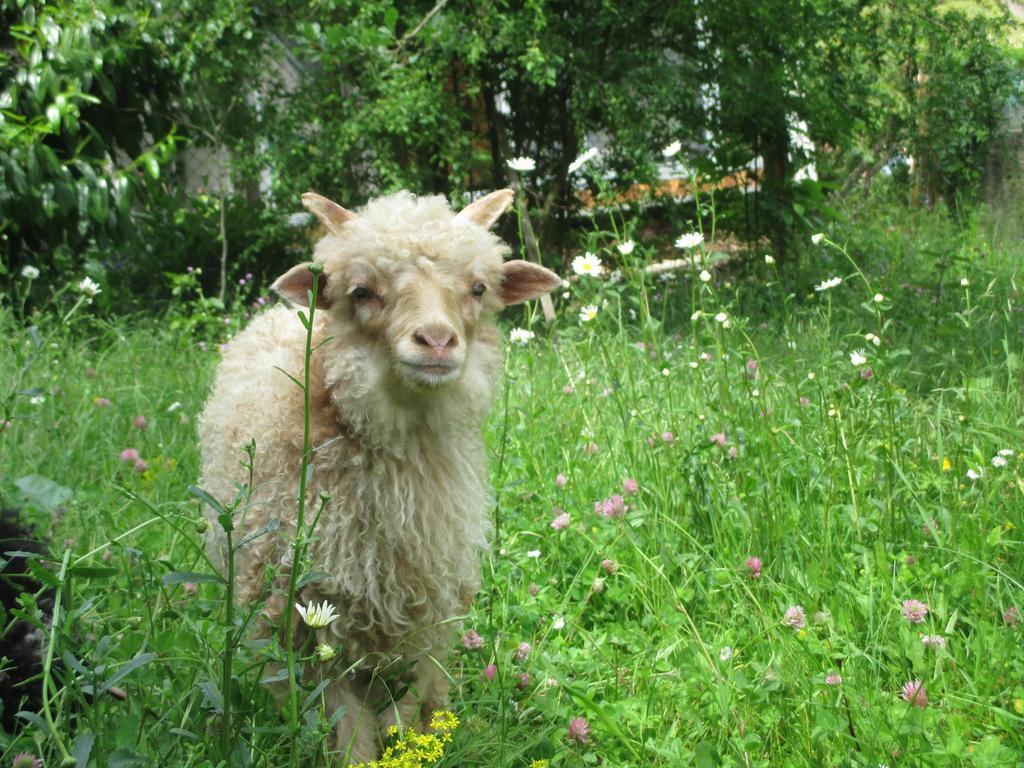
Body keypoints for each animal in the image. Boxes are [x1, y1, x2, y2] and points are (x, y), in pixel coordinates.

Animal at [195, 191, 557, 765]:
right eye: (361, 291)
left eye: (478, 289)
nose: (437, 340)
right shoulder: (308, 621)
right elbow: (345, 727)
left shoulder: (426, 616)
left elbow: (409, 709)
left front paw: (413, 742)